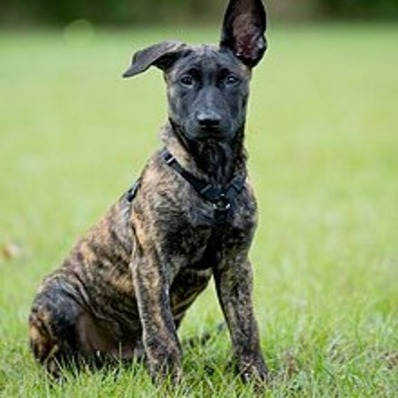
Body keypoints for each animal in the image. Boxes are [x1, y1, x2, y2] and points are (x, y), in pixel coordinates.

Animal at [28, 0, 268, 388]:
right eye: (186, 80)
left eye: (231, 79)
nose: (208, 121)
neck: (211, 179)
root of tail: (115, 358)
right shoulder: (150, 265)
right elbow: (161, 334)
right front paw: (171, 386)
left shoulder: (235, 265)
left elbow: (246, 329)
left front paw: (257, 380)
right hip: (57, 298)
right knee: (58, 360)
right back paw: (63, 377)